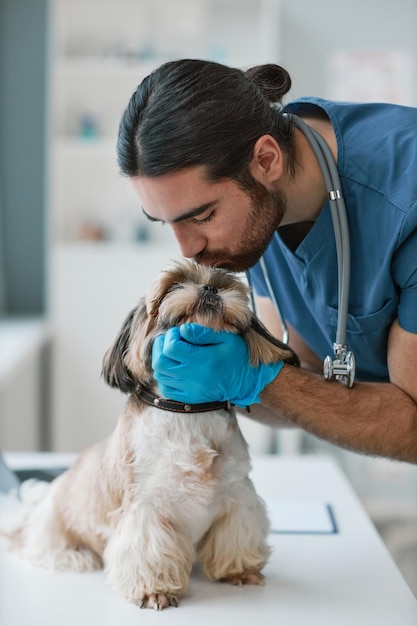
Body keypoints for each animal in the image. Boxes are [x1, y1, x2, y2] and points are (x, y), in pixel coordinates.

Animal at [1, 258, 298, 608]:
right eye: (174, 285)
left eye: (224, 283)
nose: (209, 288)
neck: (188, 410)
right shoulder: (145, 508)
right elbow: (147, 550)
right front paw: (156, 590)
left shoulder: (238, 497)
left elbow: (237, 535)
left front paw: (238, 571)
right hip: (53, 525)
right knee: (42, 548)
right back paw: (76, 555)